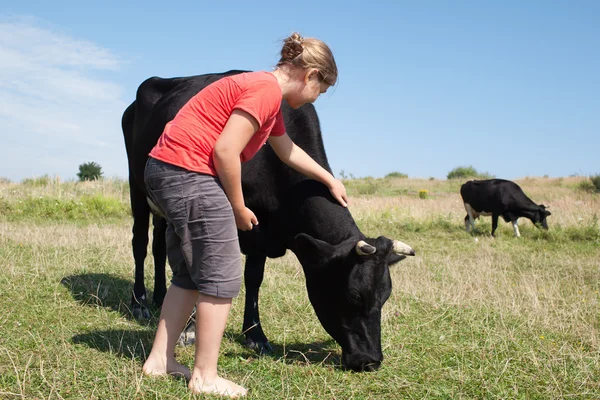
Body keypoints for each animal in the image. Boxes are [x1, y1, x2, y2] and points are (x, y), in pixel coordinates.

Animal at [121, 69, 412, 372]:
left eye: (385, 296)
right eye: (354, 295)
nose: (370, 360)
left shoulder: (262, 231)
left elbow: (254, 277)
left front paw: (254, 333)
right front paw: (193, 329)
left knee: (158, 247)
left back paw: (159, 297)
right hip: (137, 186)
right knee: (140, 243)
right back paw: (140, 302)